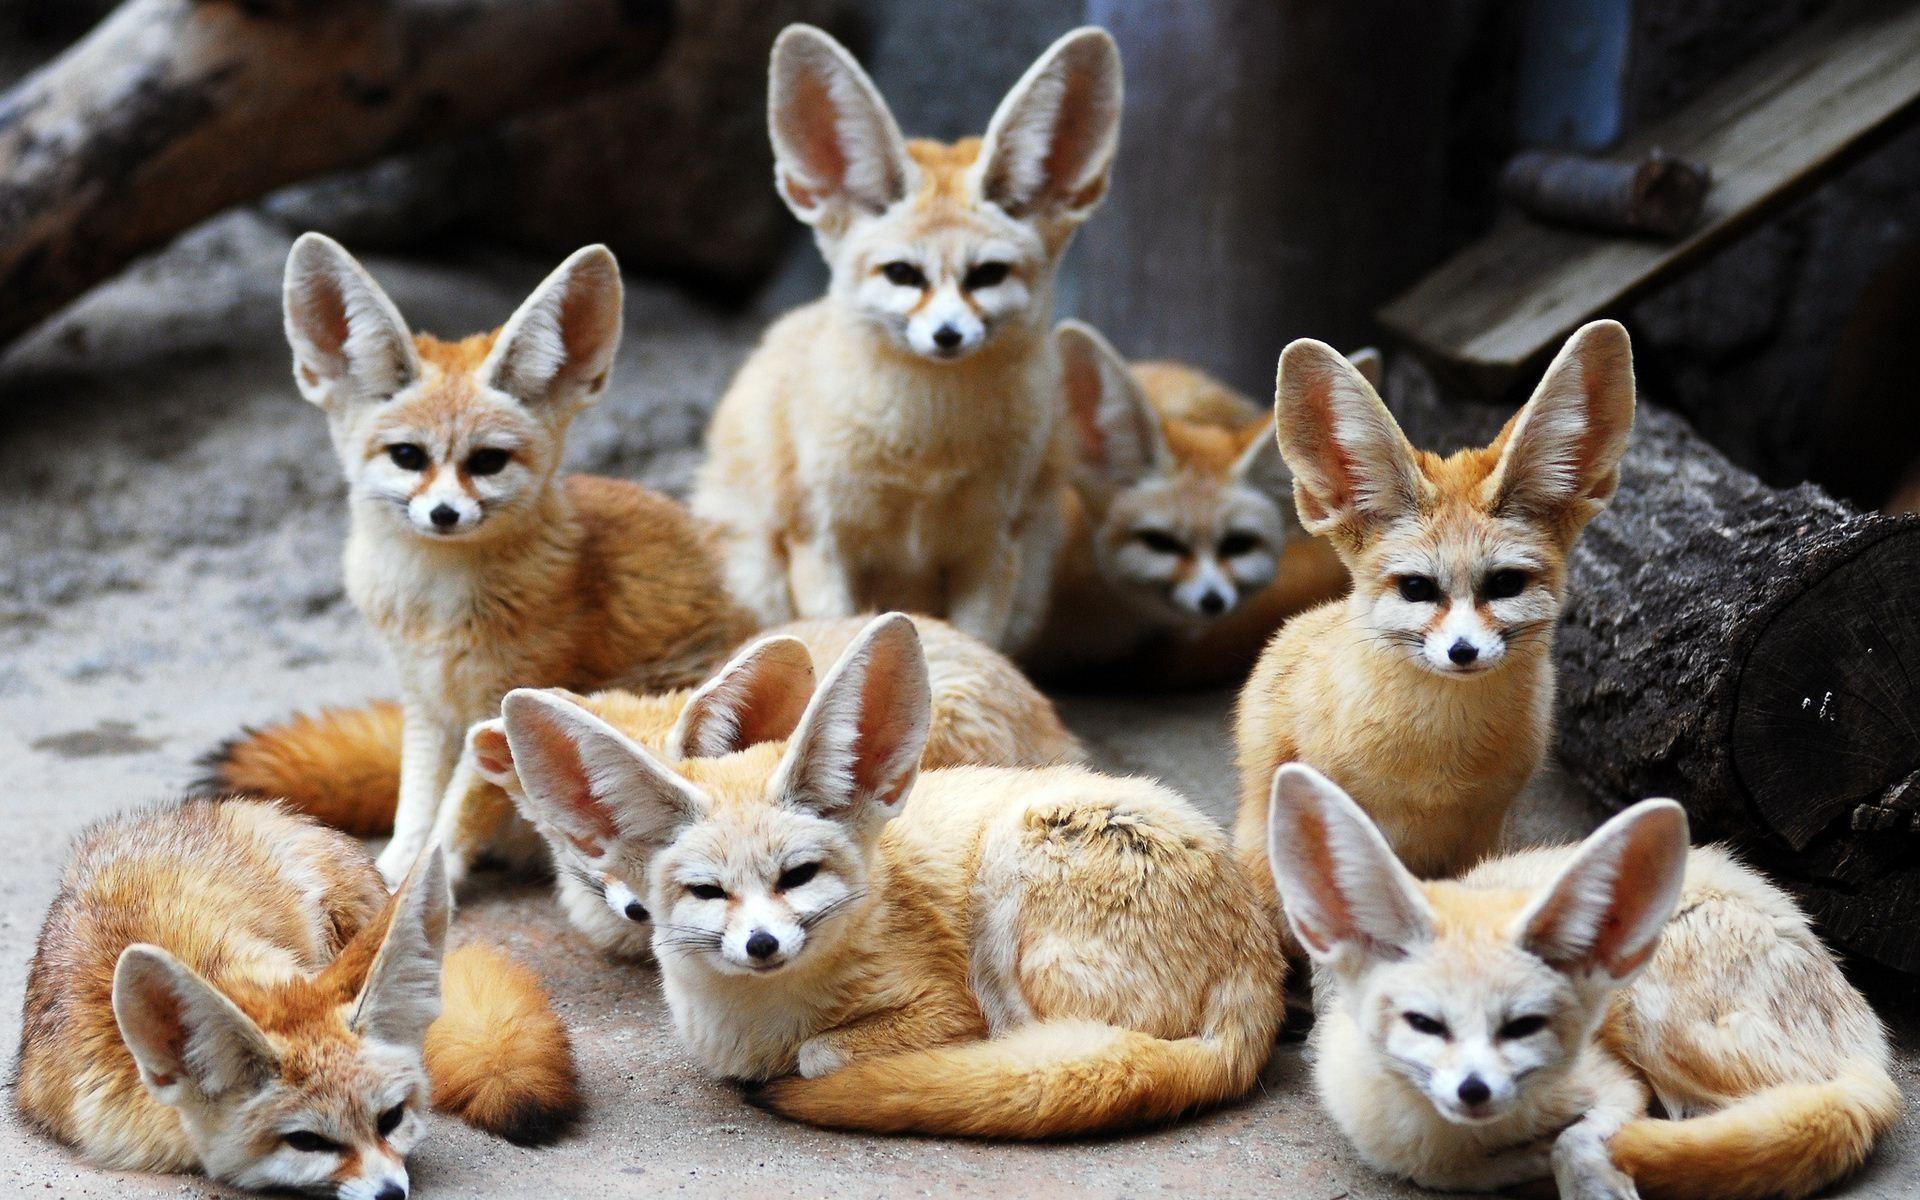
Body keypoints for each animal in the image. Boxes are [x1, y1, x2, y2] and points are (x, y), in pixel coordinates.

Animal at [281, 232, 752, 884]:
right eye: (407, 456)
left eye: (487, 462)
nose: (445, 515)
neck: (435, 606)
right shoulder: (424, 703)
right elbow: (414, 804)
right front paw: (394, 869)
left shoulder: (503, 703)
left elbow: (456, 815)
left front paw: (430, 878)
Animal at [692, 24, 1123, 653]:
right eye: (902, 274)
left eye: (987, 275)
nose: (947, 335)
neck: (926, 449)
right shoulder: (819, 544)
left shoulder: (990, 549)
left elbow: (976, 645)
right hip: (758, 572)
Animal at [1264, 763, 1903, 1199]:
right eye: (1424, 1023)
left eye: (1524, 1025)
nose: (1474, 1090)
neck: (1469, 1135)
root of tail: (1872, 1052)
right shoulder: (1436, 1162)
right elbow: (1502, 1164)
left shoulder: (1618, 1083)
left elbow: (1580, 1141)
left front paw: (1593, 1176)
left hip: (1656, 1022)